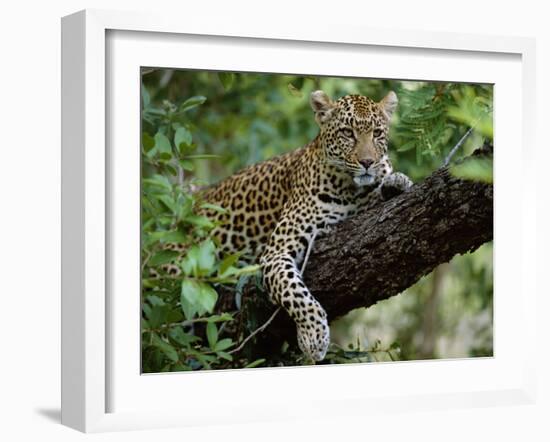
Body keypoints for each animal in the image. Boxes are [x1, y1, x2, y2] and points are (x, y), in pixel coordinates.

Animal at [162, 90, 412, 362]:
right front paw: (313, 337)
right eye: (347, 132)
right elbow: (296, 294)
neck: (350, 189)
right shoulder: (276, 252)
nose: (367, 162)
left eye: (377, 133)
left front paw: (396, 182)